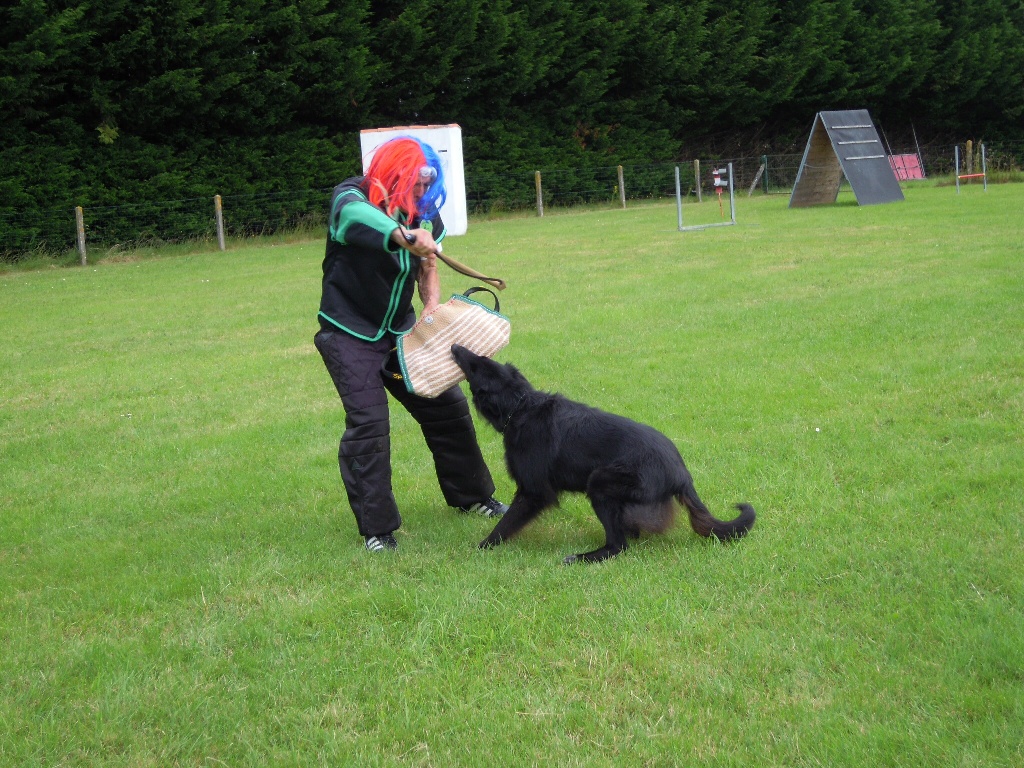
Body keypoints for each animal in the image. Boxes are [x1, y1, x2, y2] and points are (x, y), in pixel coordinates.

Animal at [452, 346, 757, 561]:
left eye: (476, 365)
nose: (455, 347)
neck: (521, 405)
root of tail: (682, 475)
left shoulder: (533, 493)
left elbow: (506, 524)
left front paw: (484, 547)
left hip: (600, 482)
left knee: (618, 546)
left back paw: (584, 557)